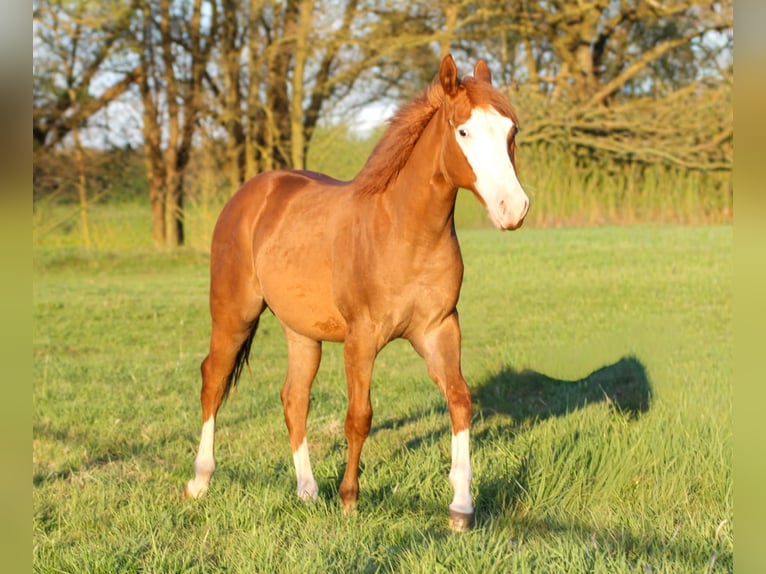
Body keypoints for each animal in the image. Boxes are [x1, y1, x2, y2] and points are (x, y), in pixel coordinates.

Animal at [183, 54, 529, 532]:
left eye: (511, 131)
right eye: (464, 131)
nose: (513, 209)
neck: (403, 232)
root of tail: (251, 193)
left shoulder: (440, 329)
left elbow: (459, 401)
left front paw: (461, 508)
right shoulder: (361, 339)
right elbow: (359, 417)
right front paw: (349, 501)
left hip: (302, 333)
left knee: (294, 398)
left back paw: (307, 491)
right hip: (234, 315)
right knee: (213, 381)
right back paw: (199, 482)